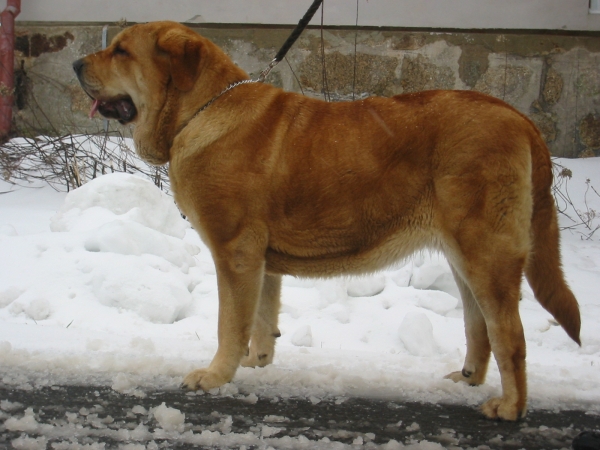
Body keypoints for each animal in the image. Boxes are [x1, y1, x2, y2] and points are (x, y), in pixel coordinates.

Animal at [72, 21, 580, 422]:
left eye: (121, 51)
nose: (76, 64)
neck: (201, 109)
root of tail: (519, 118)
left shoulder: (234, 251)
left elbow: (229, 322)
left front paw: (215, 375)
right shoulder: (259, 259)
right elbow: (261, 315)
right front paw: (257, 361)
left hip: (485, 253)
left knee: (509, 333)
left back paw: (509, 408)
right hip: (463, 257)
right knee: (480, 327)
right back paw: (468, 378)